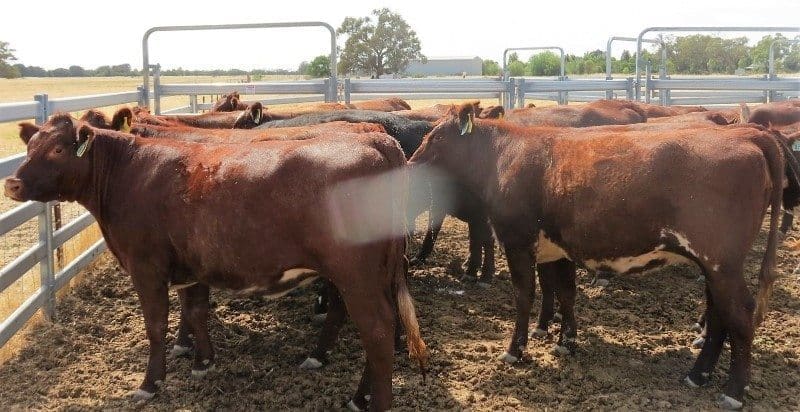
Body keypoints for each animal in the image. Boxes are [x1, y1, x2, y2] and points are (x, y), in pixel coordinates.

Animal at [4, 114, 424, 410]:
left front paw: (150, 384)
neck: (128, 173)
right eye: (30, 147)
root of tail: (378, 142)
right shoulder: (191, 268)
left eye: (58, 150)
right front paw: (203, 362)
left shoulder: (146, 267)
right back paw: (355, 393)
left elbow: (156, 327)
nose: (12, 183)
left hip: (357, 276)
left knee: (378, 331)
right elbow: (196, 311)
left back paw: (372, 401)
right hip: (371, 273)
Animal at [410, 103, 792, 408]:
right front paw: (566, 341)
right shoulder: (557, 249)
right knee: (718, 315)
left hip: (721, 262)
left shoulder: (518, 242)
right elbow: (565, 293)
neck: (506, 156)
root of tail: (746, 135)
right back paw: (698, 374)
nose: (411, 162)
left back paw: (733, 390)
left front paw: (515, 350)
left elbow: (524, 296)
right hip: (714, 267)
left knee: (738, 315)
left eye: (436, 138)